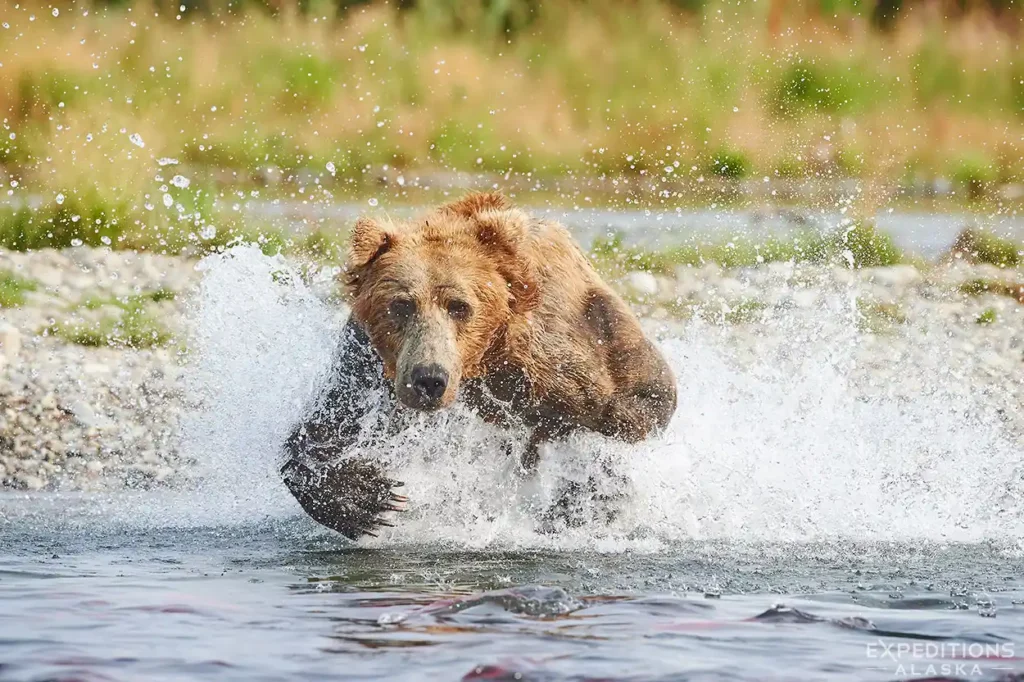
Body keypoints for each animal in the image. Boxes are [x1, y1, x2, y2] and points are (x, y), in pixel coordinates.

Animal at [281, 192, 677, 539]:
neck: (487, 357)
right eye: (402, 305)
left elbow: (627, 418)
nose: (429, 379)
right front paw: (369, 497)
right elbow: (328, 428)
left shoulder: (567, 362)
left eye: (459, 306)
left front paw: (582, 502)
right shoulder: (369, 363)